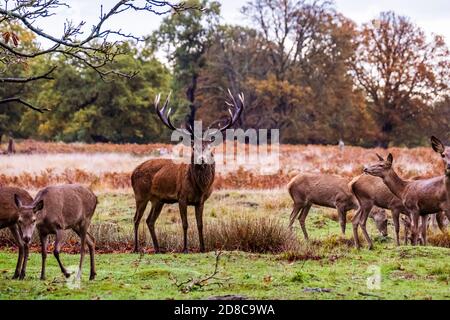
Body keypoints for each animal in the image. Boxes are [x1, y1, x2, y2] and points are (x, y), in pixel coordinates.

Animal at [131, 90, 243, 255]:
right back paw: (136, 248)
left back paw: (158, 249)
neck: (199, 188)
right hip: (140, 195)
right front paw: (185, 249)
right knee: (136, 218)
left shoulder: (201, 201)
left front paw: (203, 248)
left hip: (157, 200)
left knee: (149, 220)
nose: (202, 160)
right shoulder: (181, 197)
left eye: (210, 148)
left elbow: (200, 224)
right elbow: (185, 224)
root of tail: (132, 173)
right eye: (194, 148)